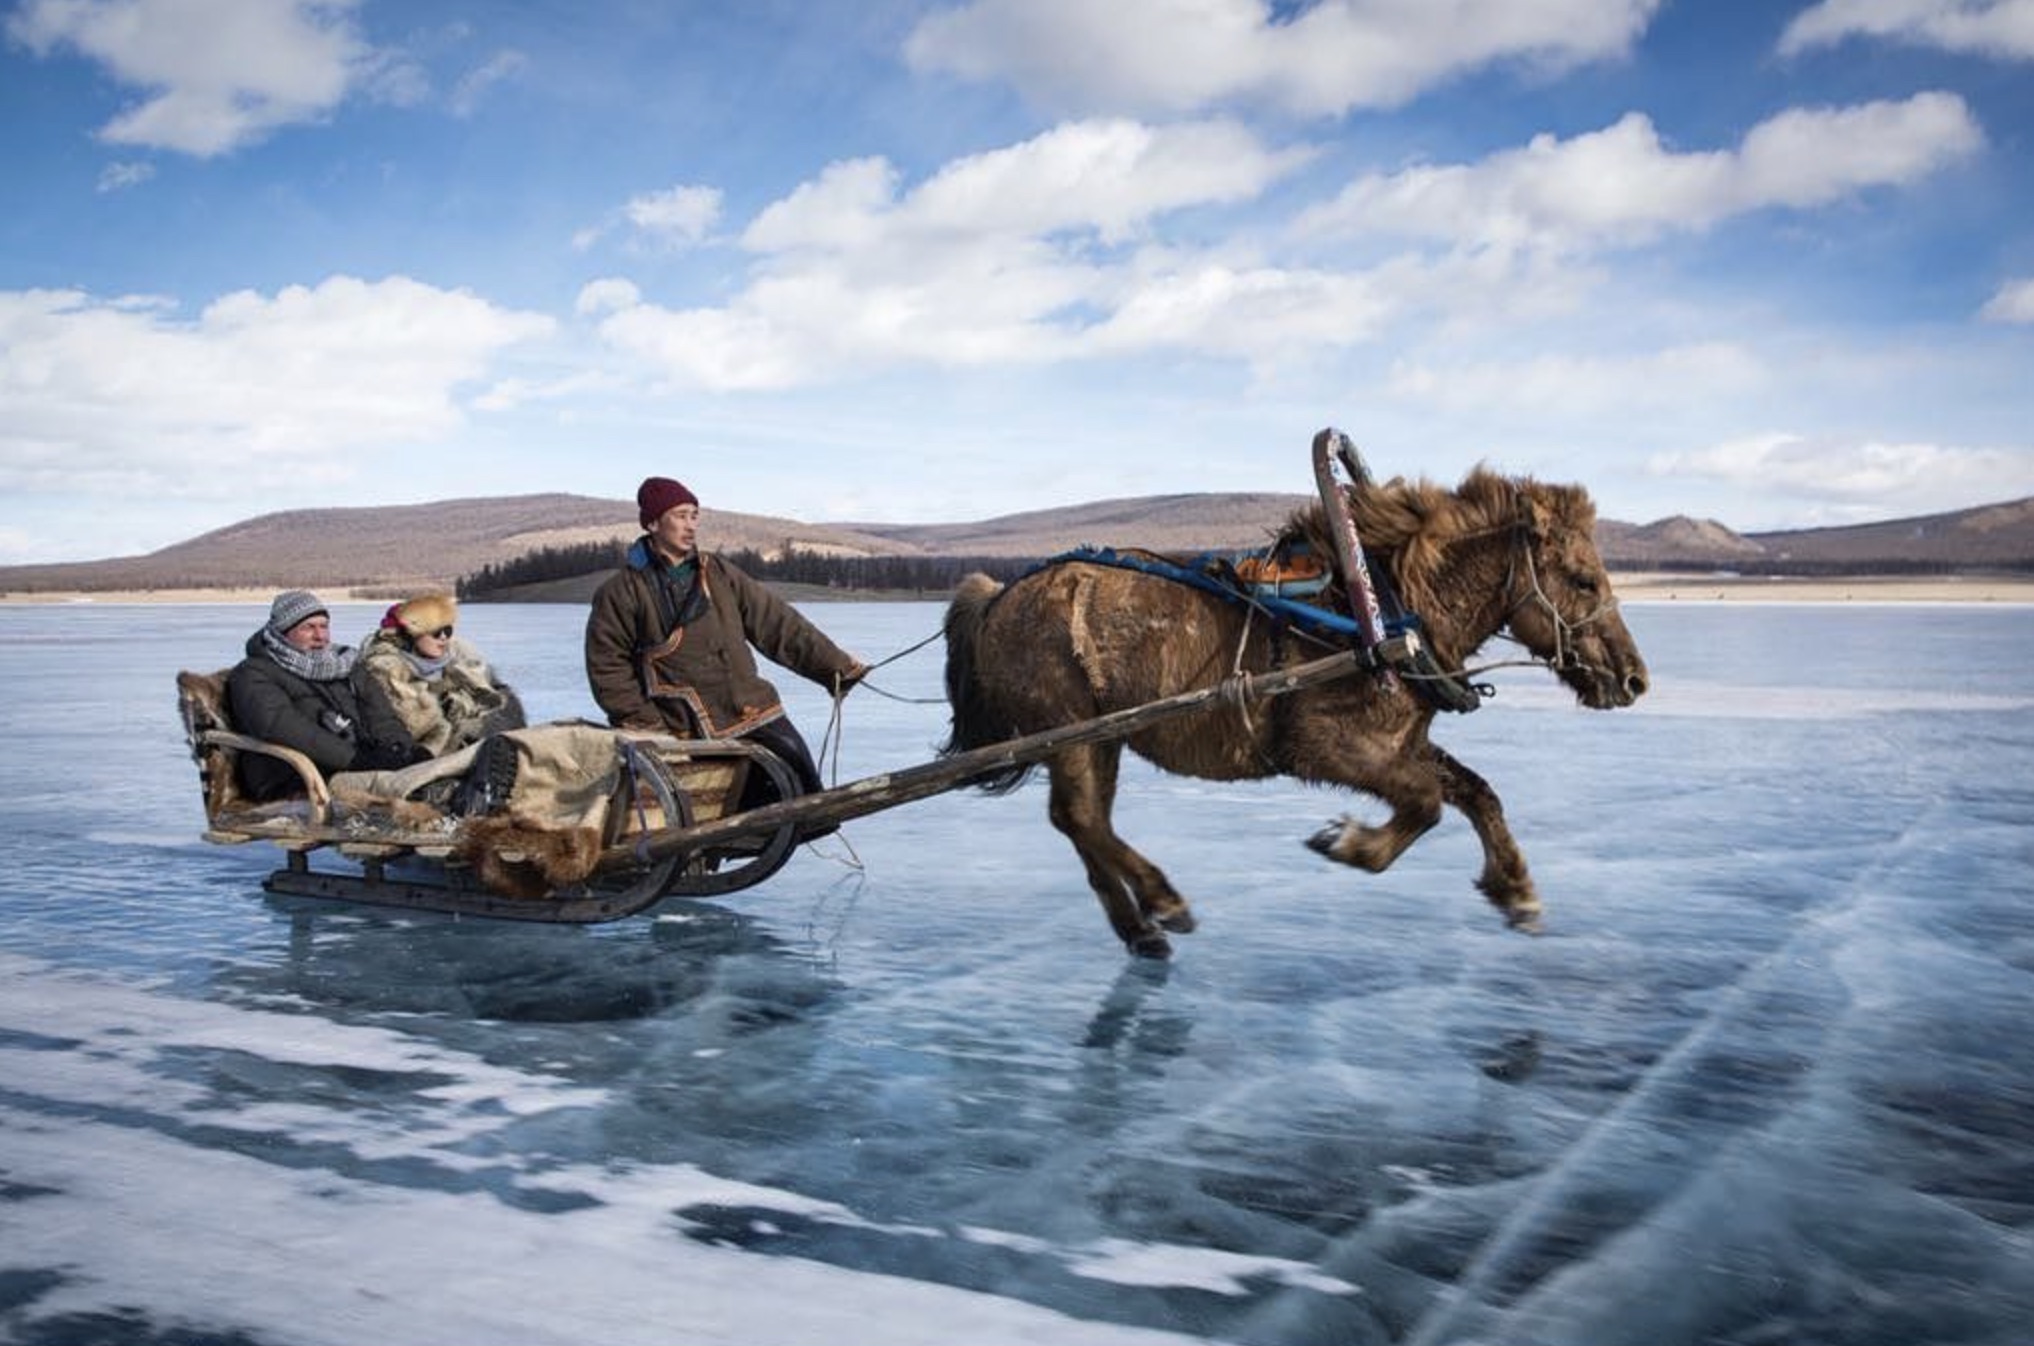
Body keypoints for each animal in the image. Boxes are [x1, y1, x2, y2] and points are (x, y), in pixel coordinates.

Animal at [935, 469, 1651, 963]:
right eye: (1584, 579)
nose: (1634, 678)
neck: (1384, 612)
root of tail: (997, 595)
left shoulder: (1397, 744)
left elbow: (1478, 792)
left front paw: (1518, 892)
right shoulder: (1325, 744)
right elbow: (1426, 805)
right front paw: (1348, 843)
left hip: (1100, 737)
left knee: (1080, 820)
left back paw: (1141, 929)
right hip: (1073, 733)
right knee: (1083, 817)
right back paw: (1165, 903)